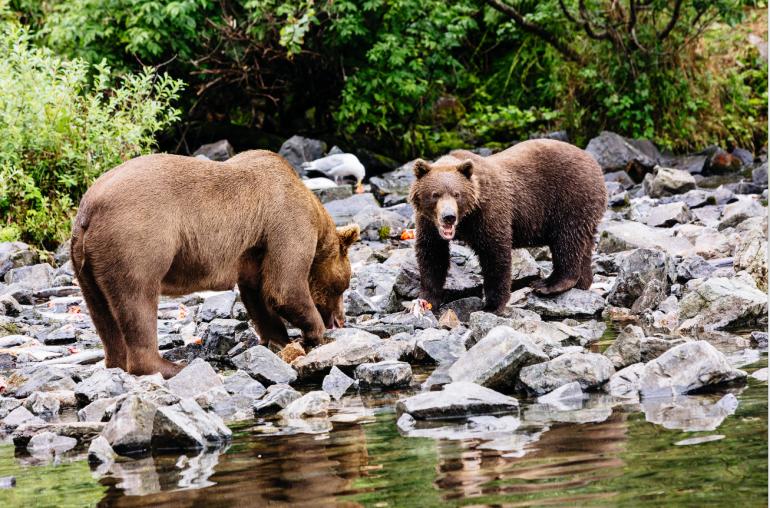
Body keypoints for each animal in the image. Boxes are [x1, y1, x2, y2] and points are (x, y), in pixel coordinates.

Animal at [70, 149, 358, 380]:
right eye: (343, 287)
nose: (341, 320)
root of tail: (89, 209)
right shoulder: (286, 223)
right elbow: (284, 288)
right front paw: (313, 334)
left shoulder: (254, 251)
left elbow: (258, 295)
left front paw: (279, 339)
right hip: (137, 238)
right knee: (138, 300)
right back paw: (171, 365)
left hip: (87, 263)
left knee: (102, 312)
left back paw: (116, 362)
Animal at [408, 139, 608, 314]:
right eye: (435, 194)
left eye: (457, 194)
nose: (449, 217)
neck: (466, 218)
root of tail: (594, 162)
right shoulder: (428, 222)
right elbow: (432, 254)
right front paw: (426, 300)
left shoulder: (489, 212)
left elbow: (495, 253)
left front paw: (492, 305)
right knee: (584, 244)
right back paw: (583, 282)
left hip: (571, 197)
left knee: (567, 240)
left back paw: (548, 285)